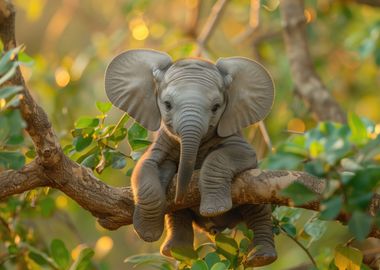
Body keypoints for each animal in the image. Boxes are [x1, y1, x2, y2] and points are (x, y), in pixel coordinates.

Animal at [104, 49, 276, 266]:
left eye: (216, 107)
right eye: (167, 105)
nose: (180, 195)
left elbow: (233, 155)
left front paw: (214, 209)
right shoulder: (163, 140)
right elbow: (143, 169)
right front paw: (147, 234)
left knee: (258, 206)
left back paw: (261, 257)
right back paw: (177, 252)